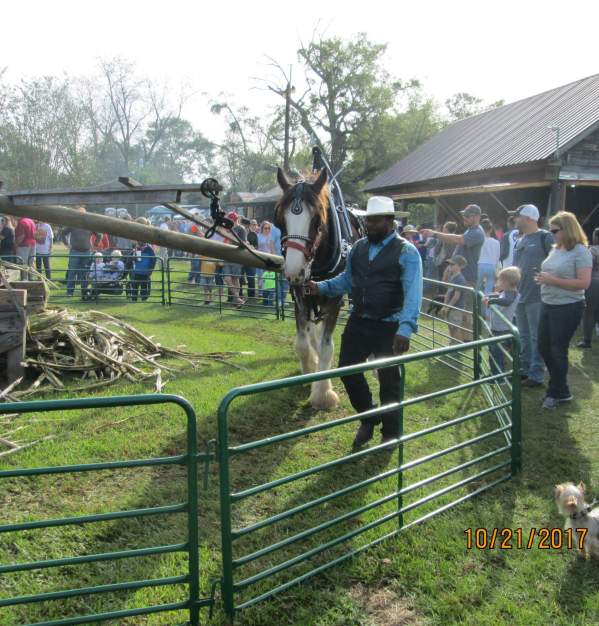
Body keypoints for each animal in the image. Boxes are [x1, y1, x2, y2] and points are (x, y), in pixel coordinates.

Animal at [274, 166, 358, 410]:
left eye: (317, 221)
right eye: (279, 221)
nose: (294, 270)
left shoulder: (335, 301)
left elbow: (327, 347)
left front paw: (322, 394)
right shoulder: (299, 297)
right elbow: (303, 343)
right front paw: (309, 369)